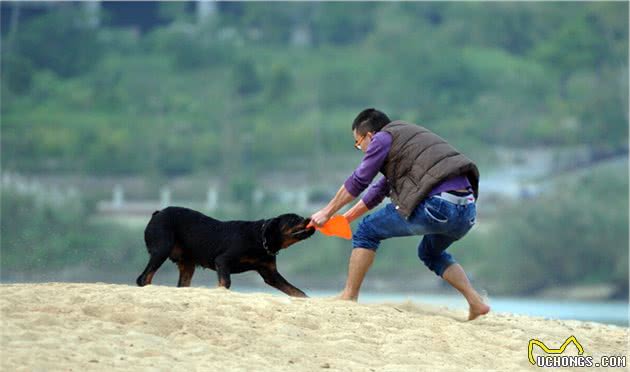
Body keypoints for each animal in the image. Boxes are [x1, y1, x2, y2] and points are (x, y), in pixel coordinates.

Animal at [137, 206, 316, 296]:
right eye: (294, 219)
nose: (309, 218)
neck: (260, 239)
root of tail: (157, 213)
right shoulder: (222, 261)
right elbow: (226, 283)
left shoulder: (271, 274)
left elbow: (297, 292)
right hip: (161, 250)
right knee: (143, 278)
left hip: (187, 264)